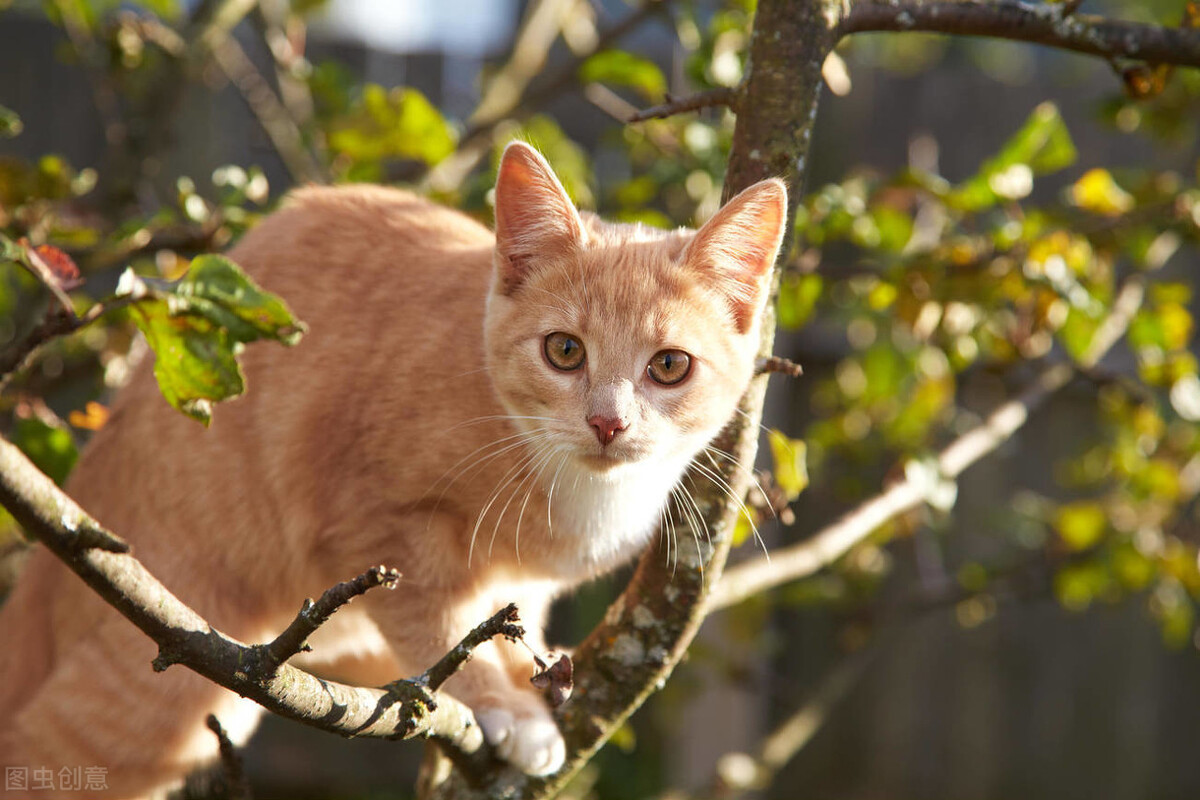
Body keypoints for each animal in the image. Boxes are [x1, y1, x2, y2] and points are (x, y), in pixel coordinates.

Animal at [0, 140, 787, 796]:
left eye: (669, 366)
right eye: (565, 351)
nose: (607, 422)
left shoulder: (520, 584)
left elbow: (503, 617)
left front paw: (523, 674)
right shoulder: (368, 521)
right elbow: (436, 621)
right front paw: (500, 702)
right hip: (156, 691)